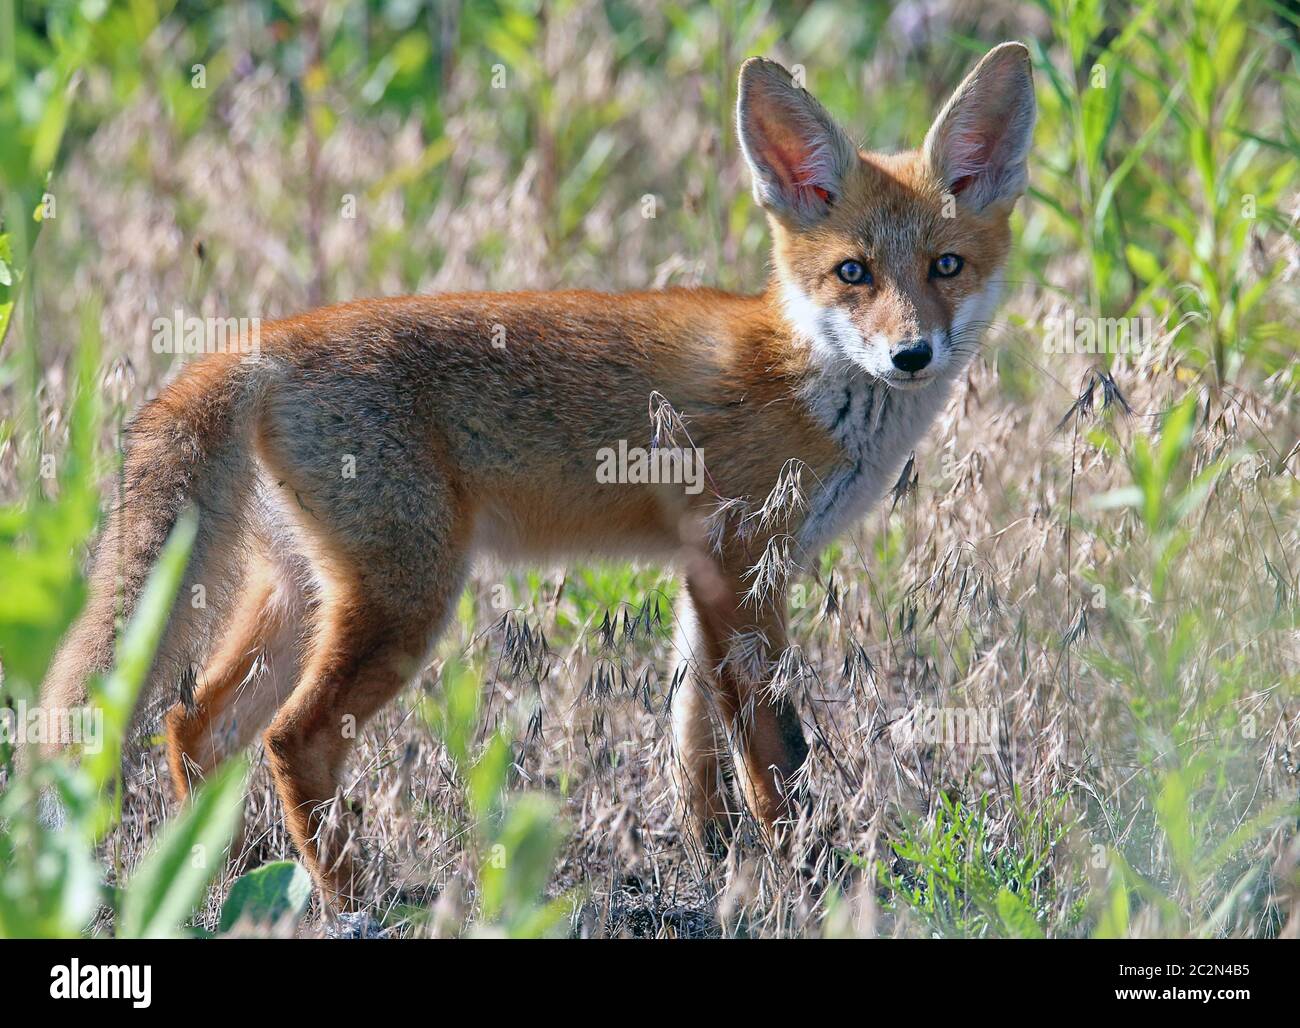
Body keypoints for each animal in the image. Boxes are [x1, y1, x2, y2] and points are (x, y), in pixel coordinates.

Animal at [38, 42, 1034, 909]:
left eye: (946, 266)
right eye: (852, 273)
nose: (911, 355)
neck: (803, 379)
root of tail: (261, 343)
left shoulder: (705, 574)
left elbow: (694, 745)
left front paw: (716, 863)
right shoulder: (743, 563)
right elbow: (774, 752)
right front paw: (804, 873)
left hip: (299, 596)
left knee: (193, 729)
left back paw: (225, 879)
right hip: (406, 598)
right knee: (292, 741)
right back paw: (355, 902)